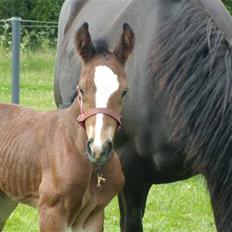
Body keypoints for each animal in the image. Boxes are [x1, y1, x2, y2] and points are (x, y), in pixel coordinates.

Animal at [0, 22, 134, 231]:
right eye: (81, 89)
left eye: (124, 92)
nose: (98, 148)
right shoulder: (51, 212)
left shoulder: (94, 215)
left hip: (5, 199)